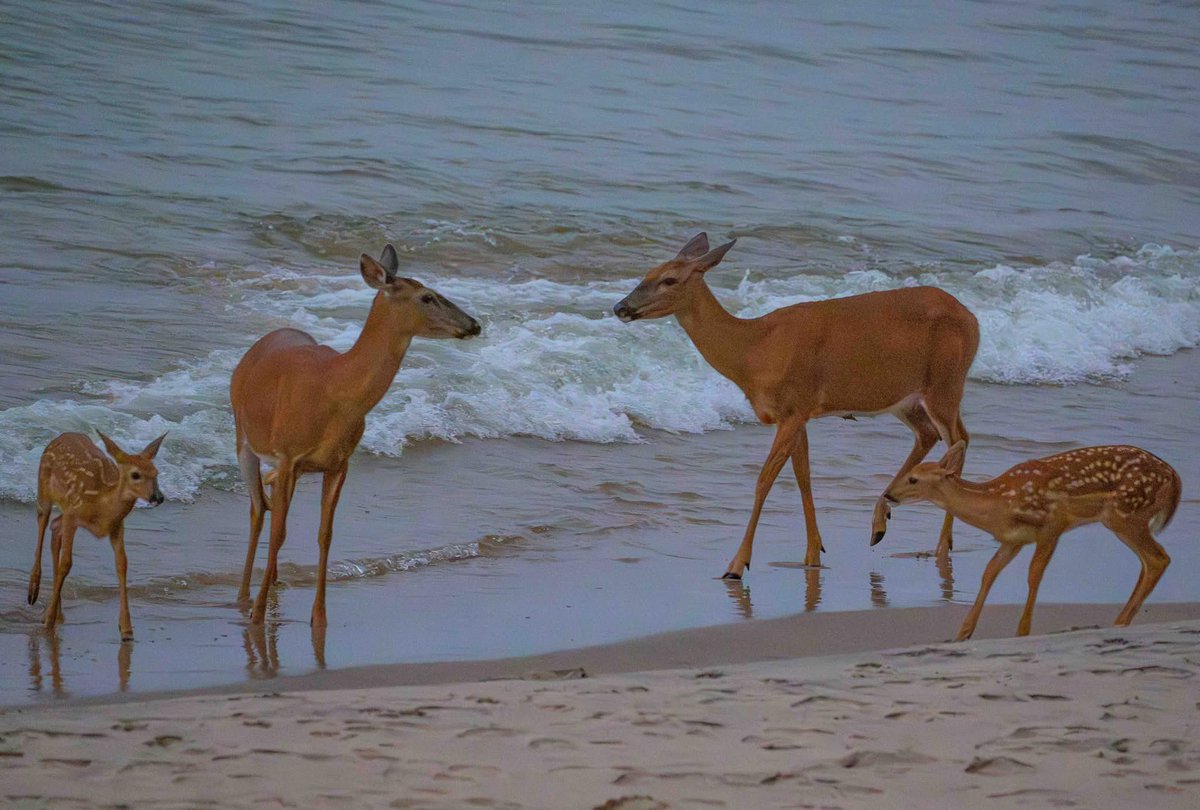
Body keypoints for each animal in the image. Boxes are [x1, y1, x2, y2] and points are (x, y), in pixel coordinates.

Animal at [27, 431, 167, 640]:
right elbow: (66, 563)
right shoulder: (73, 513)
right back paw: (34, 593)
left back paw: (57, 612)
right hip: (43, 490)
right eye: (135, 474)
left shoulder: (116, 526)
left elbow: (122, 564)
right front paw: (47, 622)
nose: (158, 497)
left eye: (156, 473)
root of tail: (61, 436)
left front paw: (126, 629)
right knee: (43, 525)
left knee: (55, 527)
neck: (101, 504)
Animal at [230, 244, 481, 627]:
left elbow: (325, 534)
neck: (336, 389)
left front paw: (319, 618)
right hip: (242, 436)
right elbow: (280, 533)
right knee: (259, 509)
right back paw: (245, 599)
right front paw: (259, 614)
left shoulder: (338, 463)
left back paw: (272, 586)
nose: (474, 324)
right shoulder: (288, 454)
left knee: (269, 502)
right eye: (427, 296)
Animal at [613, 233, 979, 578]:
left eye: (669, 279)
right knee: (931, 435)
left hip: (945, 385)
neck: (754, 350)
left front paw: (737, 565)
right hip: (908, 400)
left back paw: (941, 546)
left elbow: (764, 480)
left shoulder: (793, 407)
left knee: (959, 440)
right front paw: (813, 555)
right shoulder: (797, 414)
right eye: (647, 272)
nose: (620, 307)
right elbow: (803, 477)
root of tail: (973, 320)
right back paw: (881, 524)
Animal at [886, 442, 1179, 640]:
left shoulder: (1051, 525)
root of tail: (1174, 477)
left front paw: (1022, 631)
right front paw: (962, 633)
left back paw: (1119, 622)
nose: (889, 495)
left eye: (913, 478)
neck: (997, 503)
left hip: (1124, 514)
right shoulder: (1012, 540)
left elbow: (1034, 574)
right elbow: (989, 572)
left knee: (1158, 558)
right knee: (1148, 562)